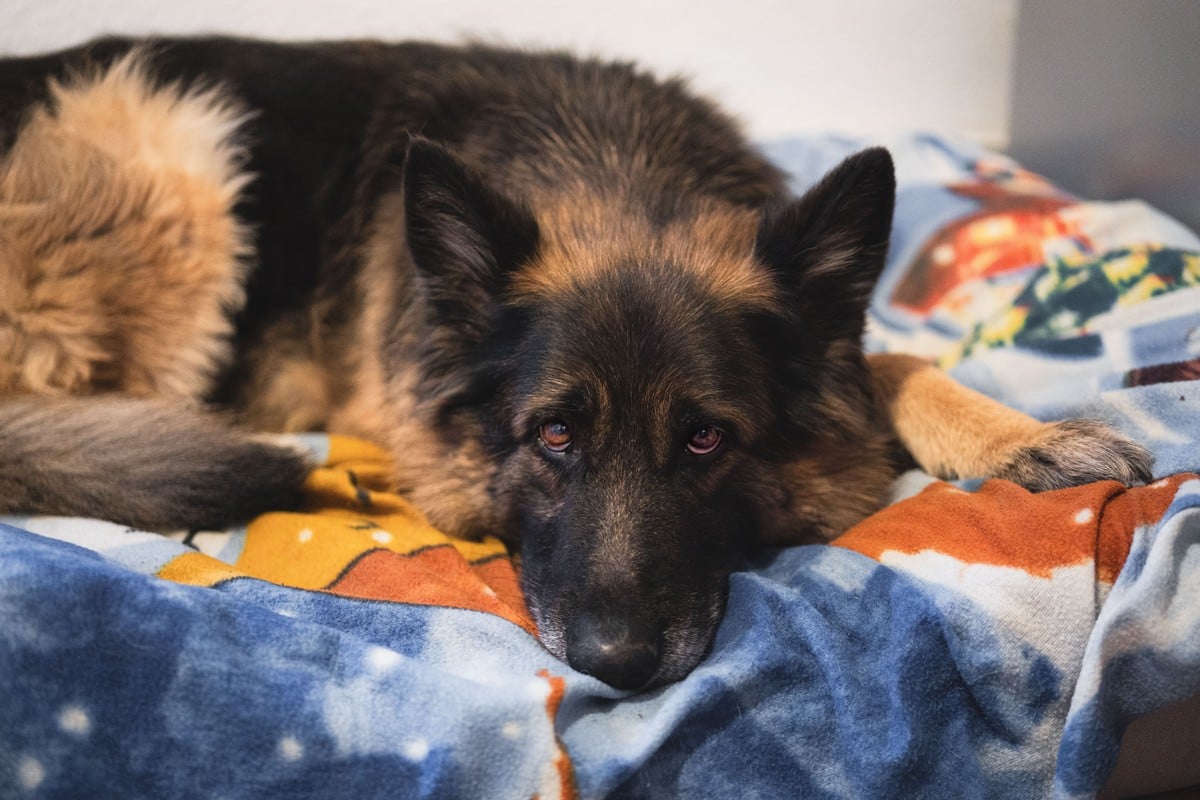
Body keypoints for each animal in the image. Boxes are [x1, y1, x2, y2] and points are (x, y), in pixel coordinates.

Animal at [0, 38, 1152, 690]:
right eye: (554, 434)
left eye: (707, 440)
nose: (618, 668)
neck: (616, 168)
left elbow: (895, 357)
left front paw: (1023, 438)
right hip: (162, 128)